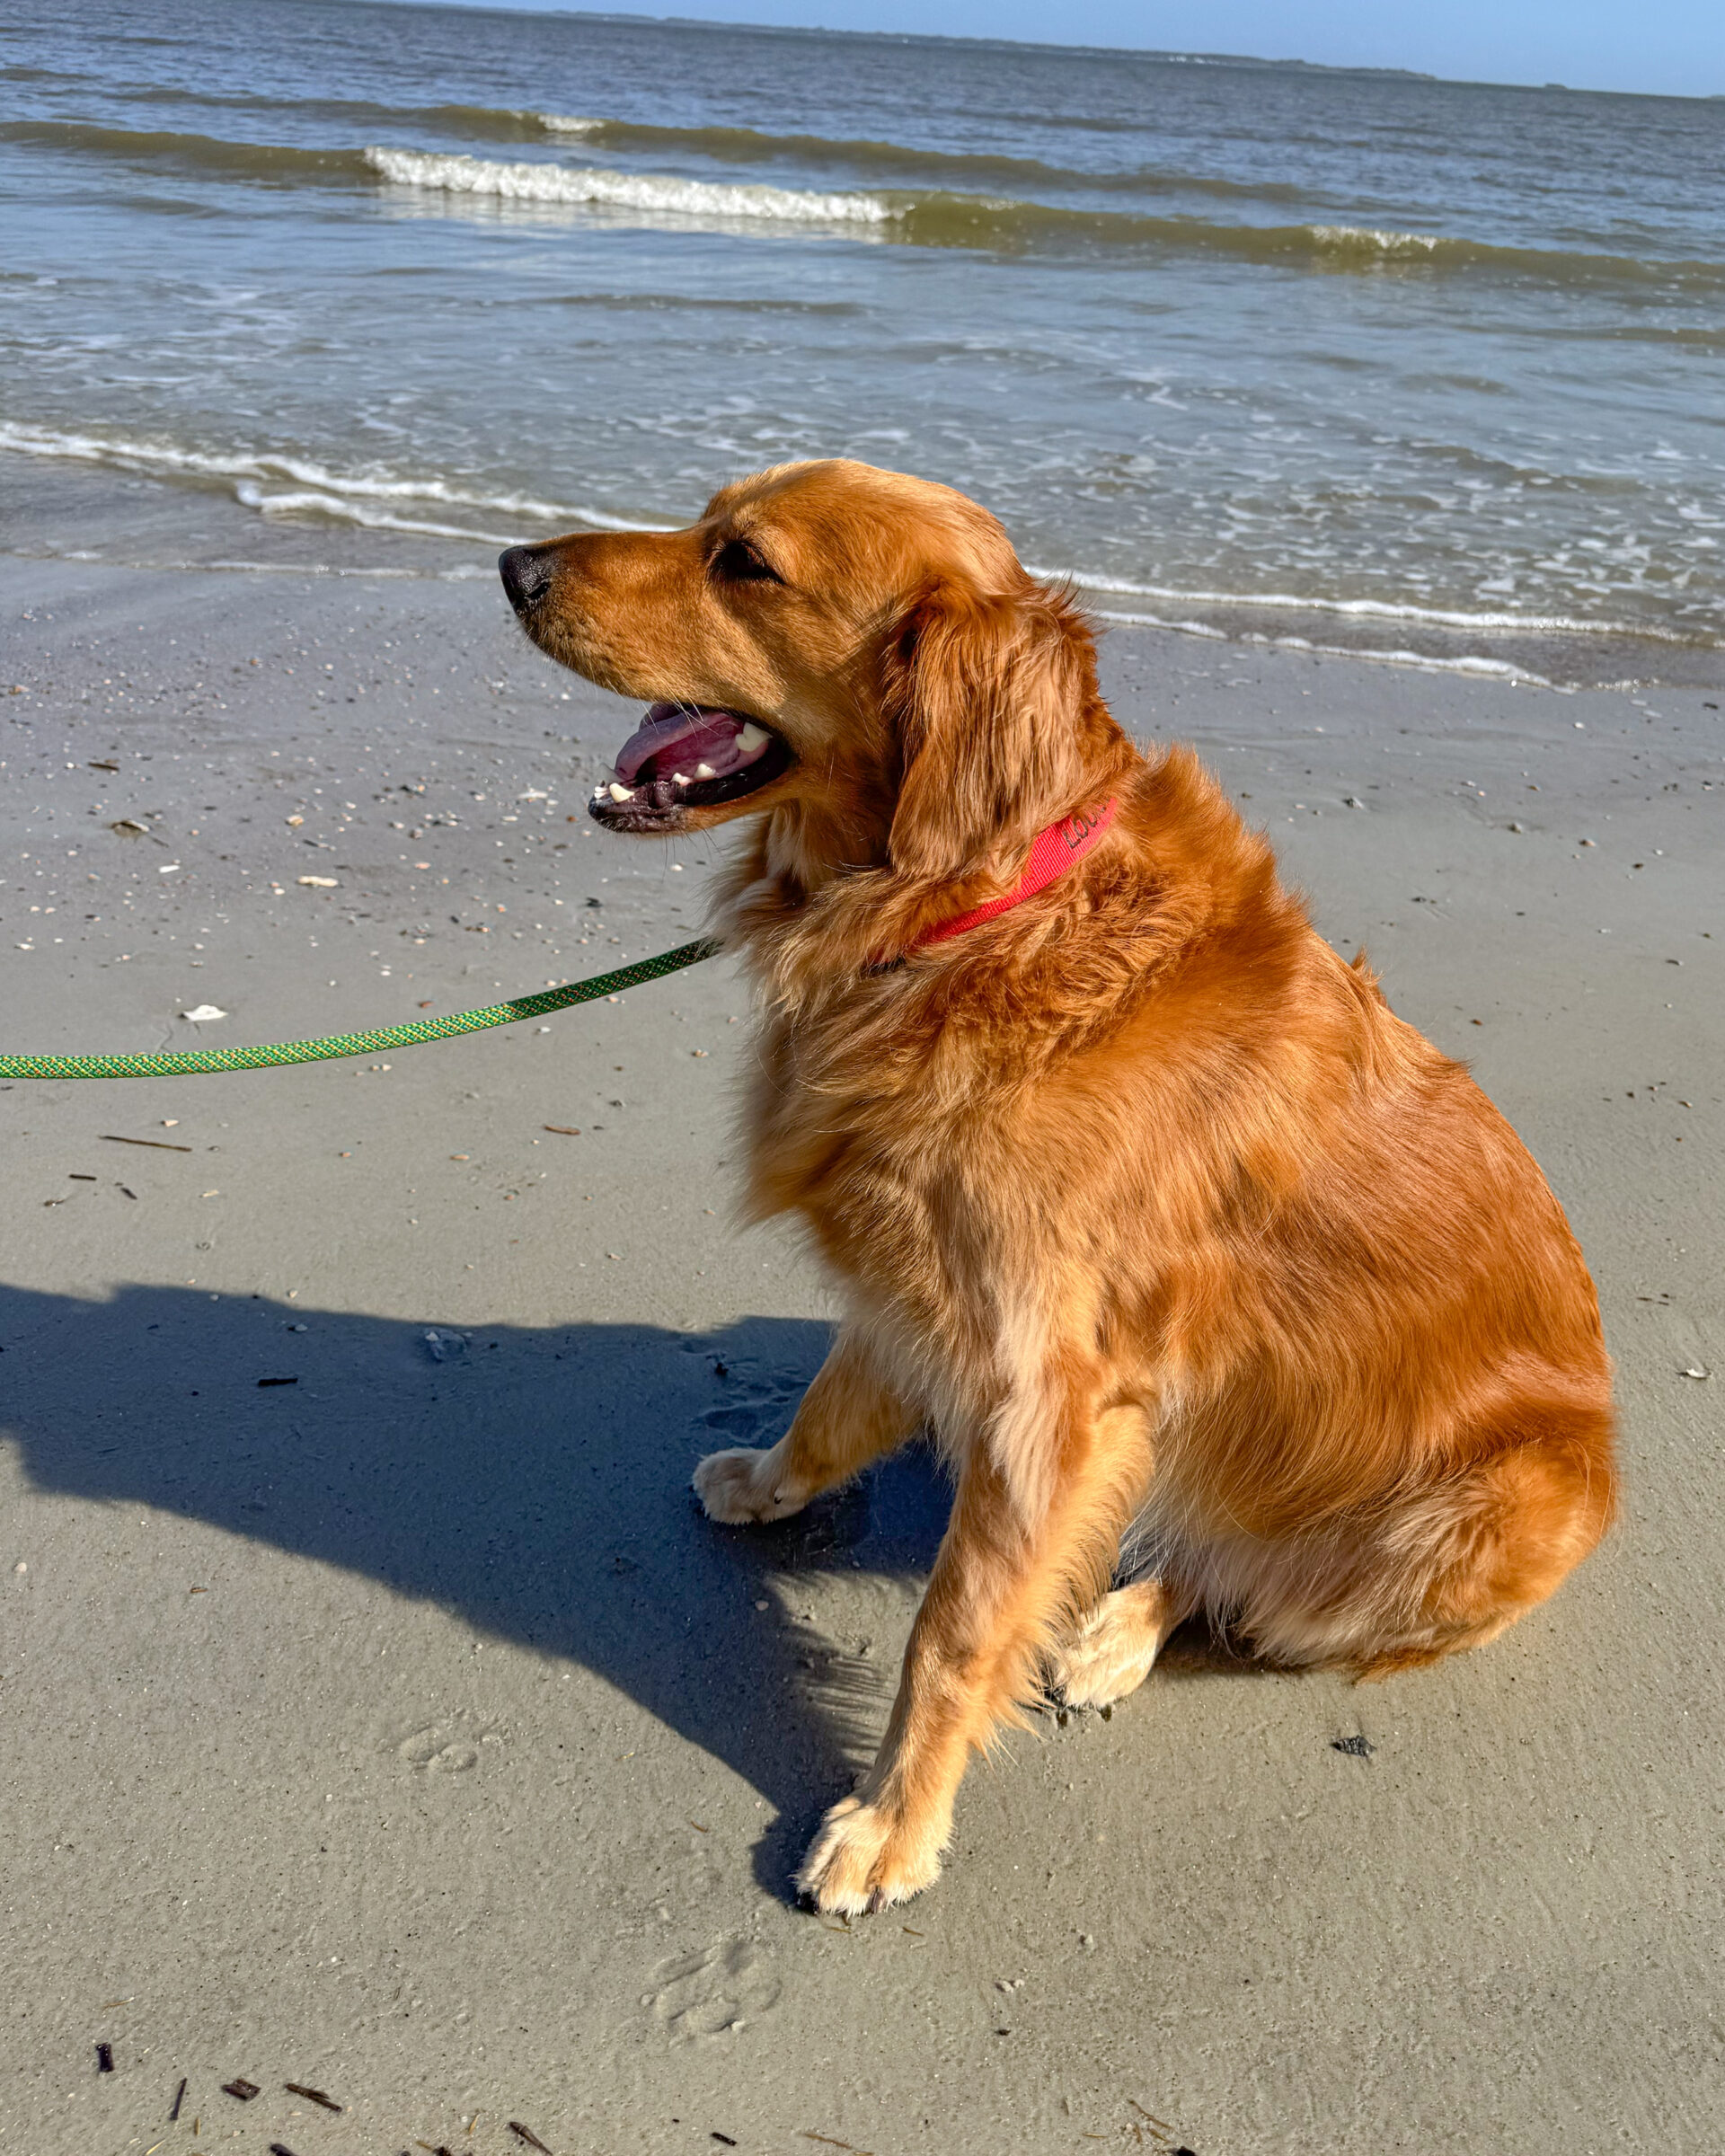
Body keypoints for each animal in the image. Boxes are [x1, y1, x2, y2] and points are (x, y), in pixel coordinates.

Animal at [498, 464, 1621, 1914]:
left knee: (1241, 1579)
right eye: (708, 516)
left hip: (1476, 1509)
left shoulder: (1053, 1391)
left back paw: (1111, 1637)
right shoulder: (923, 1287)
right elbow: (830, 1402)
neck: (967, 912)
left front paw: (892, 1824)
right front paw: (767, 1477)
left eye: (744, 562)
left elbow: (955, 1633)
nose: (513, 566)